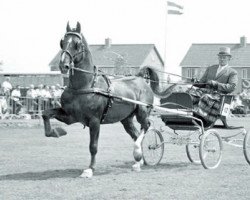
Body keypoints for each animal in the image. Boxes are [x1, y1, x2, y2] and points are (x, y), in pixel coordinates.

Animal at [42, 21, 176, 178]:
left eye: (77, 44)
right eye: (62, 42)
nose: (64, 65)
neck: (85, 86)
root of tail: (140, 79)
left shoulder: (94, 121)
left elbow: (93, 146)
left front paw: (90, 169)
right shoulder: (70, 116)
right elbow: (46, 114)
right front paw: (58, 132)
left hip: (142, 111)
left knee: (146, 126)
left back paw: (137, 152)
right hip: (126, 119)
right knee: (136, 134)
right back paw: (139, 161)